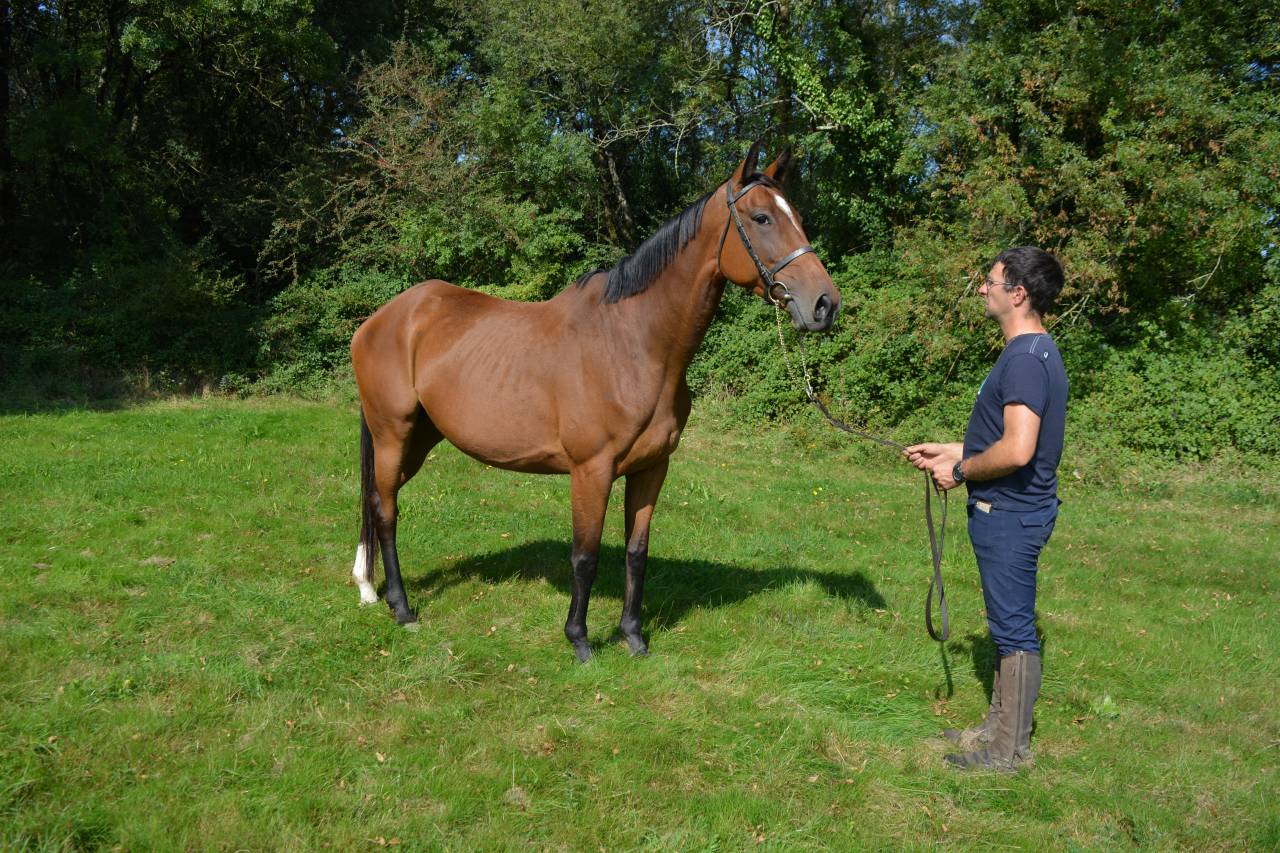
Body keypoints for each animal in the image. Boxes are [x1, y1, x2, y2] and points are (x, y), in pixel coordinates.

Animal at [349, 141, 841, 661]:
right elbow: (584, 557)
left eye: (798, 216)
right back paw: (401, 608)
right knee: (386, 510)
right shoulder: (592, 471)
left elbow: (636, 553)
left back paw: (371, 588)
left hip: (419, 439)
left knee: (378, 500)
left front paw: (633, 637)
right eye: (762, 217)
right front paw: (580, 641)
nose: (825, 304)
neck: (632, 345)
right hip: (393, 434)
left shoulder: (651, 469)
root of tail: (382, 319)